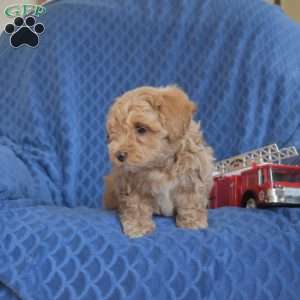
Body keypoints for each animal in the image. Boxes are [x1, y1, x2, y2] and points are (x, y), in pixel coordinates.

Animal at [104, 85, 214, 238]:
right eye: (113, 134)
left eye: (141, 129)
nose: (118, 155)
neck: (160, 165)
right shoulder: (131, 184)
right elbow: (136, 206)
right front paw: (139, 226)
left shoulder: (193, 176)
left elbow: (191, 201)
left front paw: (192, 222)